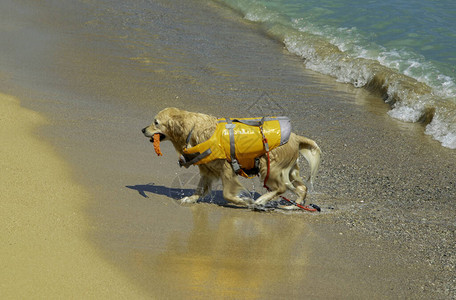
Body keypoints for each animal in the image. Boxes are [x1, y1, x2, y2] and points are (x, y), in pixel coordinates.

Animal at [142, 106, 320, 210]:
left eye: (156, 122)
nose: (143, 129)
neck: (192, 130)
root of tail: (295, 137)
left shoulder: (226, 168)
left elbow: (228, 193)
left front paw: (243, 201)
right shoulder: (207, 170)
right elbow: (200, 188)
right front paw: (191, 199)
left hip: (269, 167)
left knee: (281, 188)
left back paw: (261, 201)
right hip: (287, 172)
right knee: (301, 188)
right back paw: (293, 206)